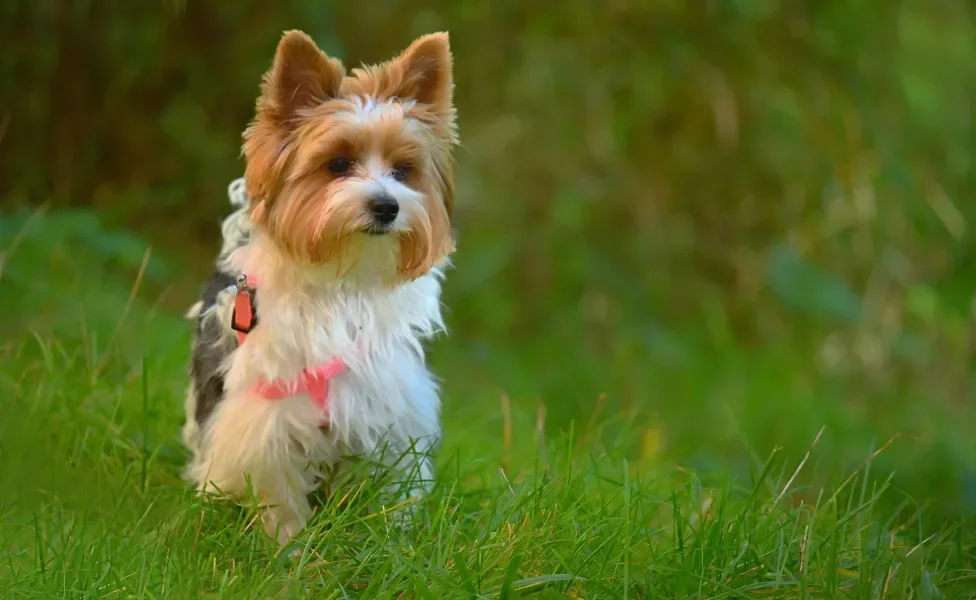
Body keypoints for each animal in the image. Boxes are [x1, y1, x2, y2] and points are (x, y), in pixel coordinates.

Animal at [180, 29, 458, 544]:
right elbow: (278, 492)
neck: (341, 278)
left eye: (403, 171)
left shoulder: (383, 408)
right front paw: (289, 549)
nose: (387, 205)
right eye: (338, 164)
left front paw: (384, 539)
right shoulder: (267, 417)